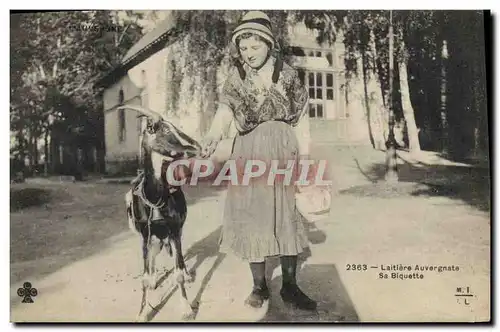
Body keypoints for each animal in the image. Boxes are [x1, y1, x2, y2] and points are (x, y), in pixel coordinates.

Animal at [120, 104, 200, 322]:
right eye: (164, 129)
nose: (196, 146)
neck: (155, 198)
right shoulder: (145, 235)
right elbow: (145, 277)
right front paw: (141, 313)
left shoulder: (174, 230)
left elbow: (178, 271)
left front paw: (186, 308)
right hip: (153, 237)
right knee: (155, 256)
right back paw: (155, 279)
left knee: (177, 258)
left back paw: (187, 273)